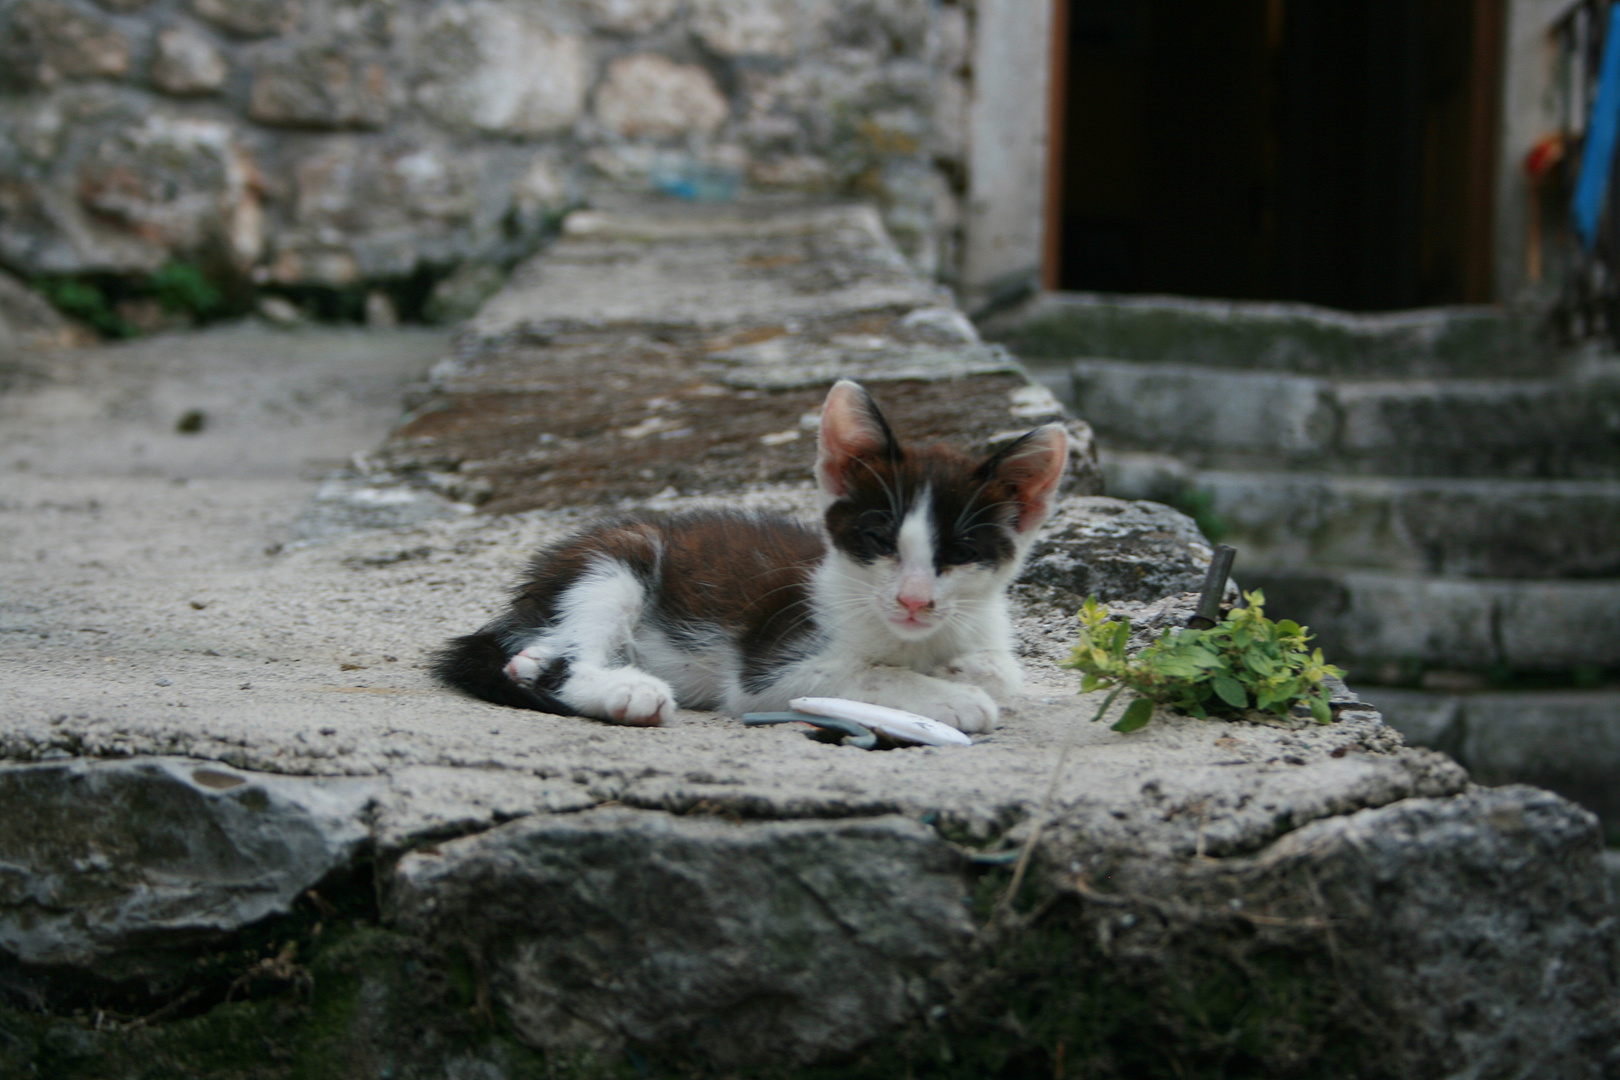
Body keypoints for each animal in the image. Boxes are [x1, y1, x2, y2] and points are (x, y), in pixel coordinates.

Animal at [430, 380, 1069, 735]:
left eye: (960, 552)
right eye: (880, 541)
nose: (914, 600)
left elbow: (1003, 669)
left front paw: (964, 672)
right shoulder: (776, 667)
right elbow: (871, 672)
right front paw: (953, 697)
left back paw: (529, 662)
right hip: (614, 562)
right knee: (573, 656)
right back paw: (625, 692)